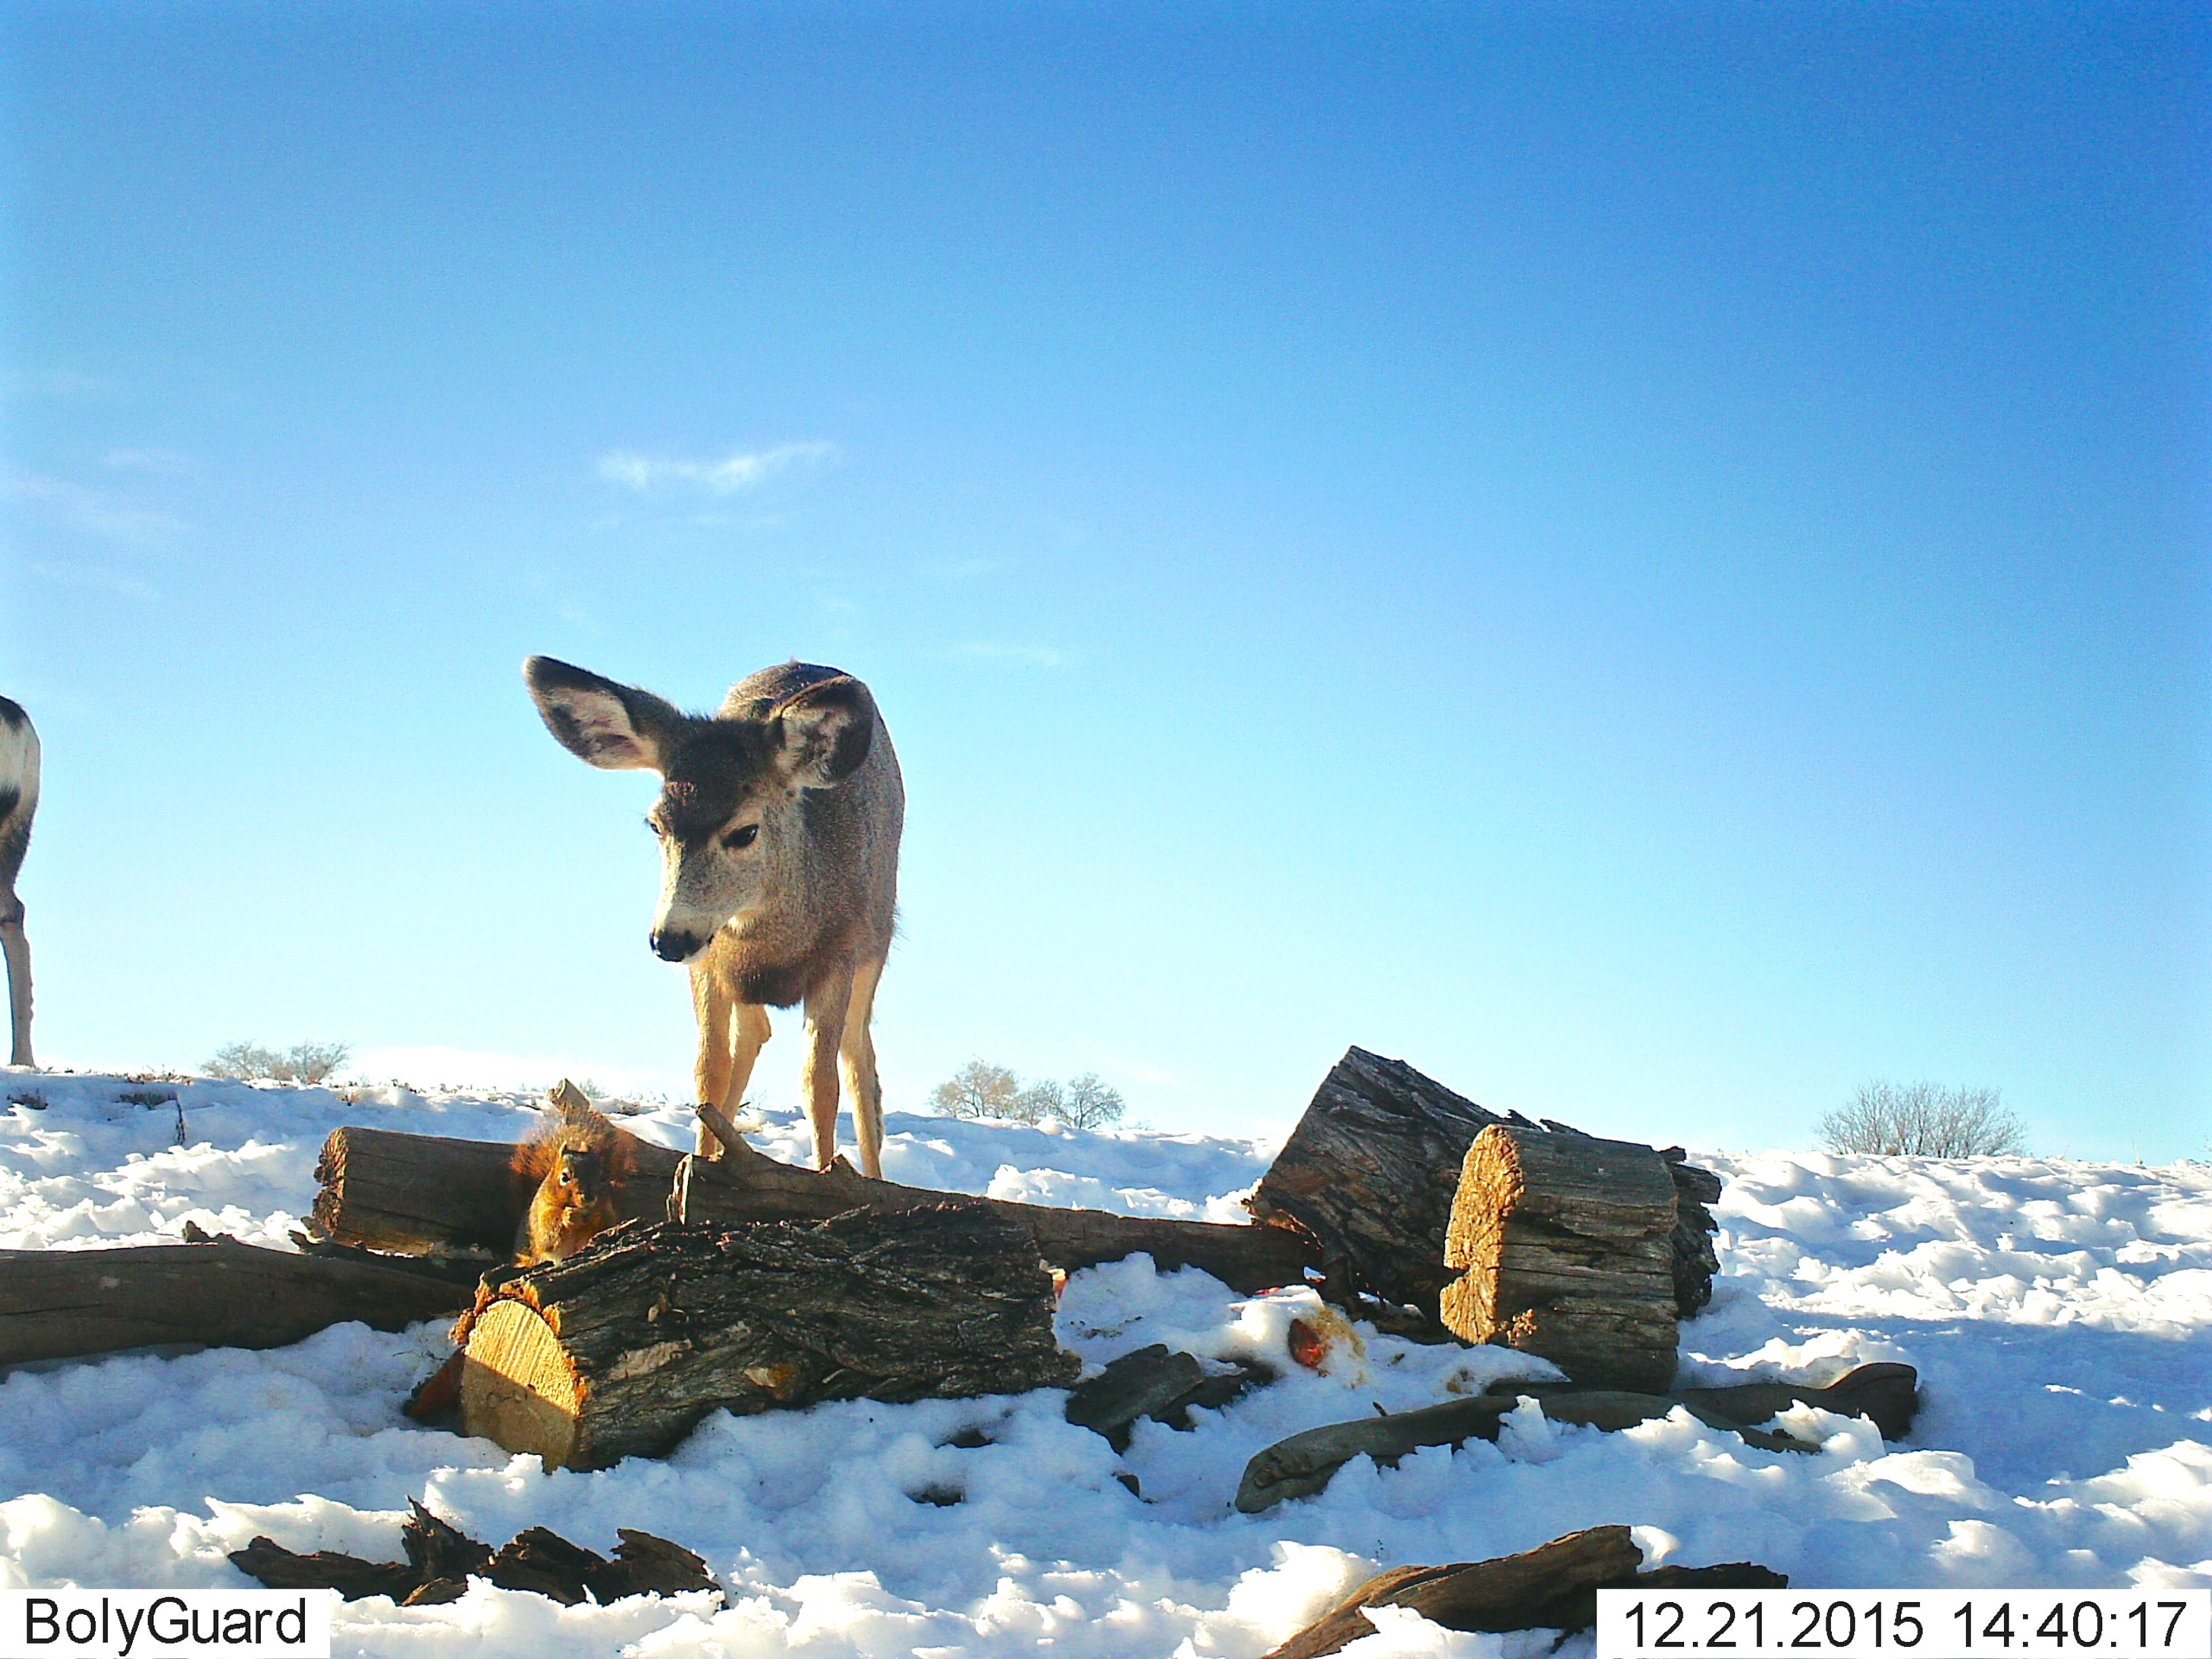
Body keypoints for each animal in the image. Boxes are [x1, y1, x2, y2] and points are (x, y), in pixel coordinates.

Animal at [522, 663, 902, 1185]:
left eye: (745, 831)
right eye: (656, 825)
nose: (668, 939)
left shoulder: (838, 958)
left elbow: (819, 1083)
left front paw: (827, 1173)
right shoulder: (709, 965)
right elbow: (709, 1069)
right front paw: (701, 1163)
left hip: (876, 943)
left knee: (859, 1058)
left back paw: (873, 1174)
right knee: (756, 1034)